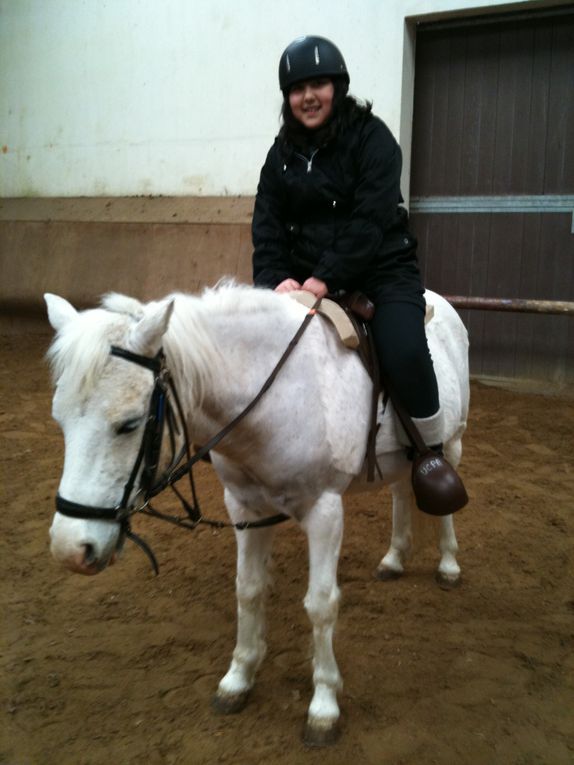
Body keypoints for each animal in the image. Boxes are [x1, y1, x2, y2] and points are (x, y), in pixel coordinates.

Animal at [44, 284, 468, 744]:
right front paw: (238, 678)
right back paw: (394, 558)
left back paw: (447, 564)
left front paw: (324, 706)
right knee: (400, 493)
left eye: (128, 423)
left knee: (441, 496)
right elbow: (247, 590)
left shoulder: (324, 512)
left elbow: (321, 604)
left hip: (451, 443)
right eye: (59, 420)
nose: (70, 549)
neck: (273, 399)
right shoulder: (245, 506)